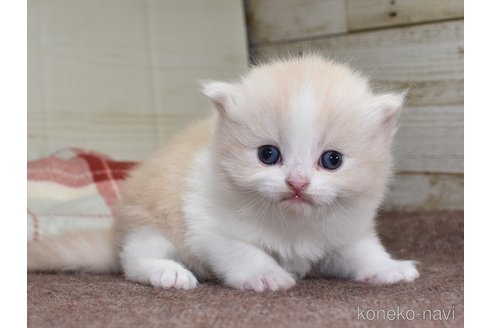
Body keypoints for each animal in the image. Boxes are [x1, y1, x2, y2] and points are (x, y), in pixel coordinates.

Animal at [27, 55, 418, 290]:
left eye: (332, 160)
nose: (297, 183)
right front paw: (266, 276)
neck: (293, 222)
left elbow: (363, 252)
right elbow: (244, 251)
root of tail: (115, 234)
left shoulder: (346, 232)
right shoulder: (209, 226)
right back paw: (168, 273)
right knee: (133, 259)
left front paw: (390, 268)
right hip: (152, 221)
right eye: (268, 155)